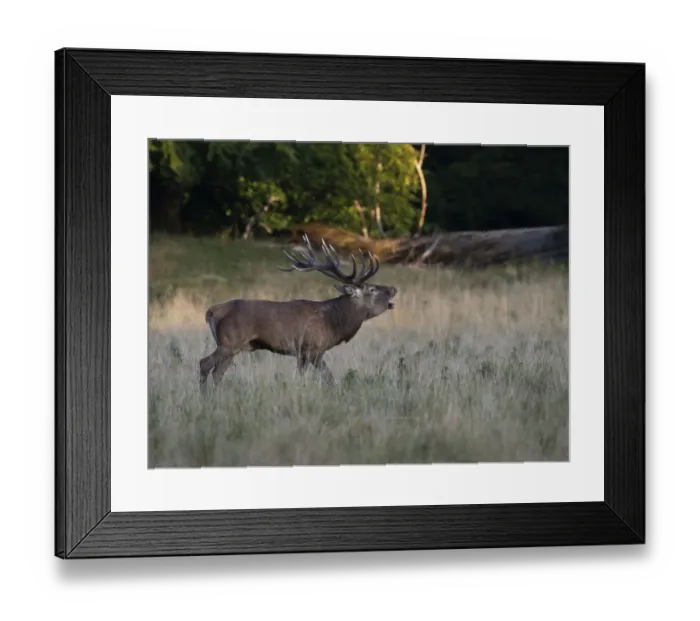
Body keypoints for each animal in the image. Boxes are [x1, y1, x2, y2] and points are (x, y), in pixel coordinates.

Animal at [199, 234, 398, 392]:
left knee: (218, 372)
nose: (393, 288)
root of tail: (212, 311)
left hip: (234, 347)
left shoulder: (302, 353)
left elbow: (303, 376)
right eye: (372, 289)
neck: (334, 322)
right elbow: (329, 378)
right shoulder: (313, 348)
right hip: (229, 341)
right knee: (205, 364)